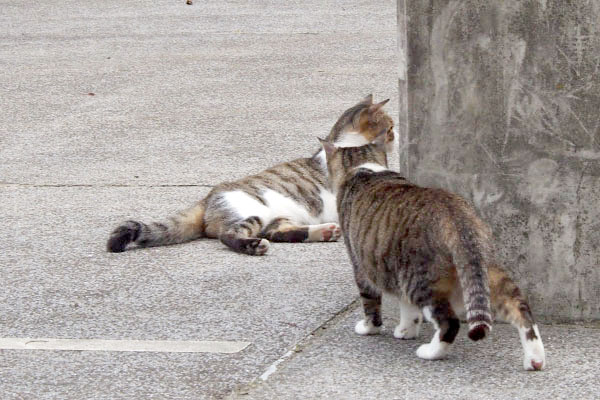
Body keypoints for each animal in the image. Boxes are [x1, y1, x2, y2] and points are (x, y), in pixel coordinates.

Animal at [105, 95, 396, 255]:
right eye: (391, 127)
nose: (397, 134)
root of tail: (208, 197)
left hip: (281, 217)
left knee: (279, 233)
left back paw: (322, 232)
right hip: (252, 213)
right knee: (231, 235)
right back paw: (253, 246)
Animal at [322, 135, 548, 372]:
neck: (365, 168)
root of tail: (456, 218)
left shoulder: (362, 265)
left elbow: (371, 303)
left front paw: (369, 328)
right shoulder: (395, 268)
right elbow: (408, 310)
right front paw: (406, 330)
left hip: (421, 281)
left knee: (449, 322)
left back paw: (431, 352)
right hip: (488, 272)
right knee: (521, 309)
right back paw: (535, 358)